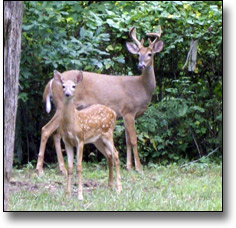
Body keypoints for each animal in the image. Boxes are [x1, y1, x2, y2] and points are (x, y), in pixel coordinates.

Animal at [36, 25, 163, 175]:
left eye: (150, 54)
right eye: (138, 54)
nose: (140, 66)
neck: (141, 87)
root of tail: (51, 81)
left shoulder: (125, 115)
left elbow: (126, 140)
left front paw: (128, 166)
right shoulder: (128, 111)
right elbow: (133, 139)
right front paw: (138, 168)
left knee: (56, 133)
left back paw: (62, 168)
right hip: (62, 104)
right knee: (46, 129)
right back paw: (40, 169)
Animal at [53, 71, 121, 200]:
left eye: (74, 86)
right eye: (63, 86)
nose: (67, 94)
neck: (72, 122)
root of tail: (113, 113)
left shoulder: (80, 139)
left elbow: (79, 166)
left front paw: (80, 195)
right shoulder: (67, 141)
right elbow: (70, 167)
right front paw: (67, 194)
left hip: (108, 133)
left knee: (115, 153)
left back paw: (119, 188)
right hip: (97, 140)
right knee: (109, 155)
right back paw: (109, 185)